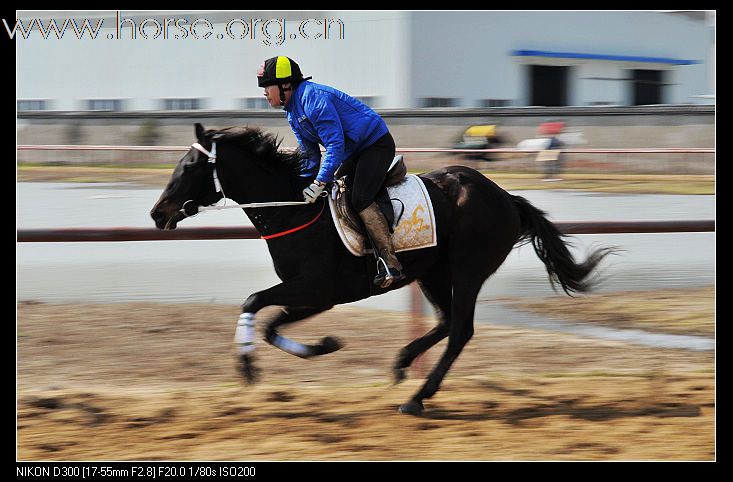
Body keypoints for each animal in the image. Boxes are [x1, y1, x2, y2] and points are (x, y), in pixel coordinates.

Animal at [150, 122, 612, 416]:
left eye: (188, 167)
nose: (158, 213)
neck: (294, 209)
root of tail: (505, 196)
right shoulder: (316, 294)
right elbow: (271, 324)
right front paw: (323, 346)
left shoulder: (316, 287)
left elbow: (253, 302)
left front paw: (246, 365)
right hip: (431, 272)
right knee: (447, 322)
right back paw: (403, 362)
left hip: (467, 269)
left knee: (461, 329)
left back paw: (419, 397)